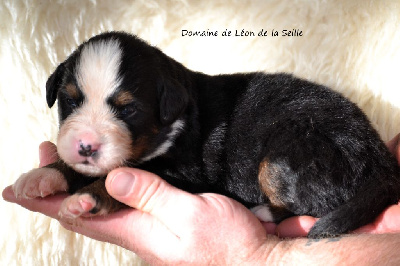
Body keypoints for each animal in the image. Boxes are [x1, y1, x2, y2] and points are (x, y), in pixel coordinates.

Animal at [12, 31, 400, 237]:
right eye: (70, 100)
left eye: (128, 110)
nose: (86, 146)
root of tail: (380, 157)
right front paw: (42, 175)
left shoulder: (186, 174)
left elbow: (115, 179)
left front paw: (87, 199)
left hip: (290, 152)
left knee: (317, 203)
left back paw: (262, 212)